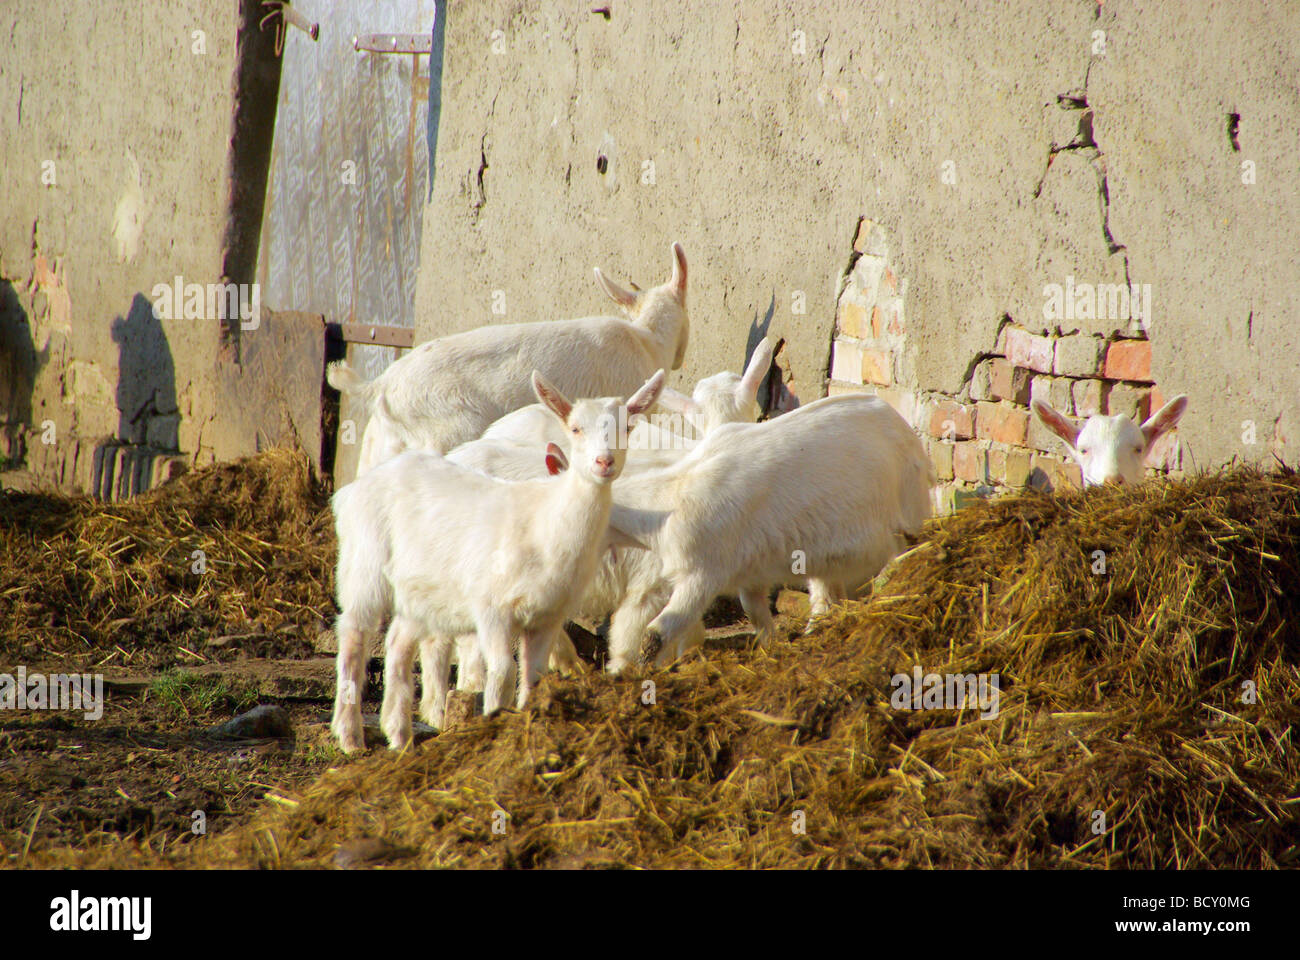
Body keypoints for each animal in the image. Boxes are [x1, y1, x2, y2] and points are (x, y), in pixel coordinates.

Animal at [330, 366, 665, 749]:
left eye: (627, 428)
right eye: (575, 428)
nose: (604, 462)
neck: (546, 521)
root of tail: (355, 489)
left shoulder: (548, 616)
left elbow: (534, 676)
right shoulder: (492, 609)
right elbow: (504, 672)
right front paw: (493, 719)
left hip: (422, 588)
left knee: (398, 642)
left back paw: (399, 735)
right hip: (365, 561)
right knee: (354, 633)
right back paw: (349, 735)